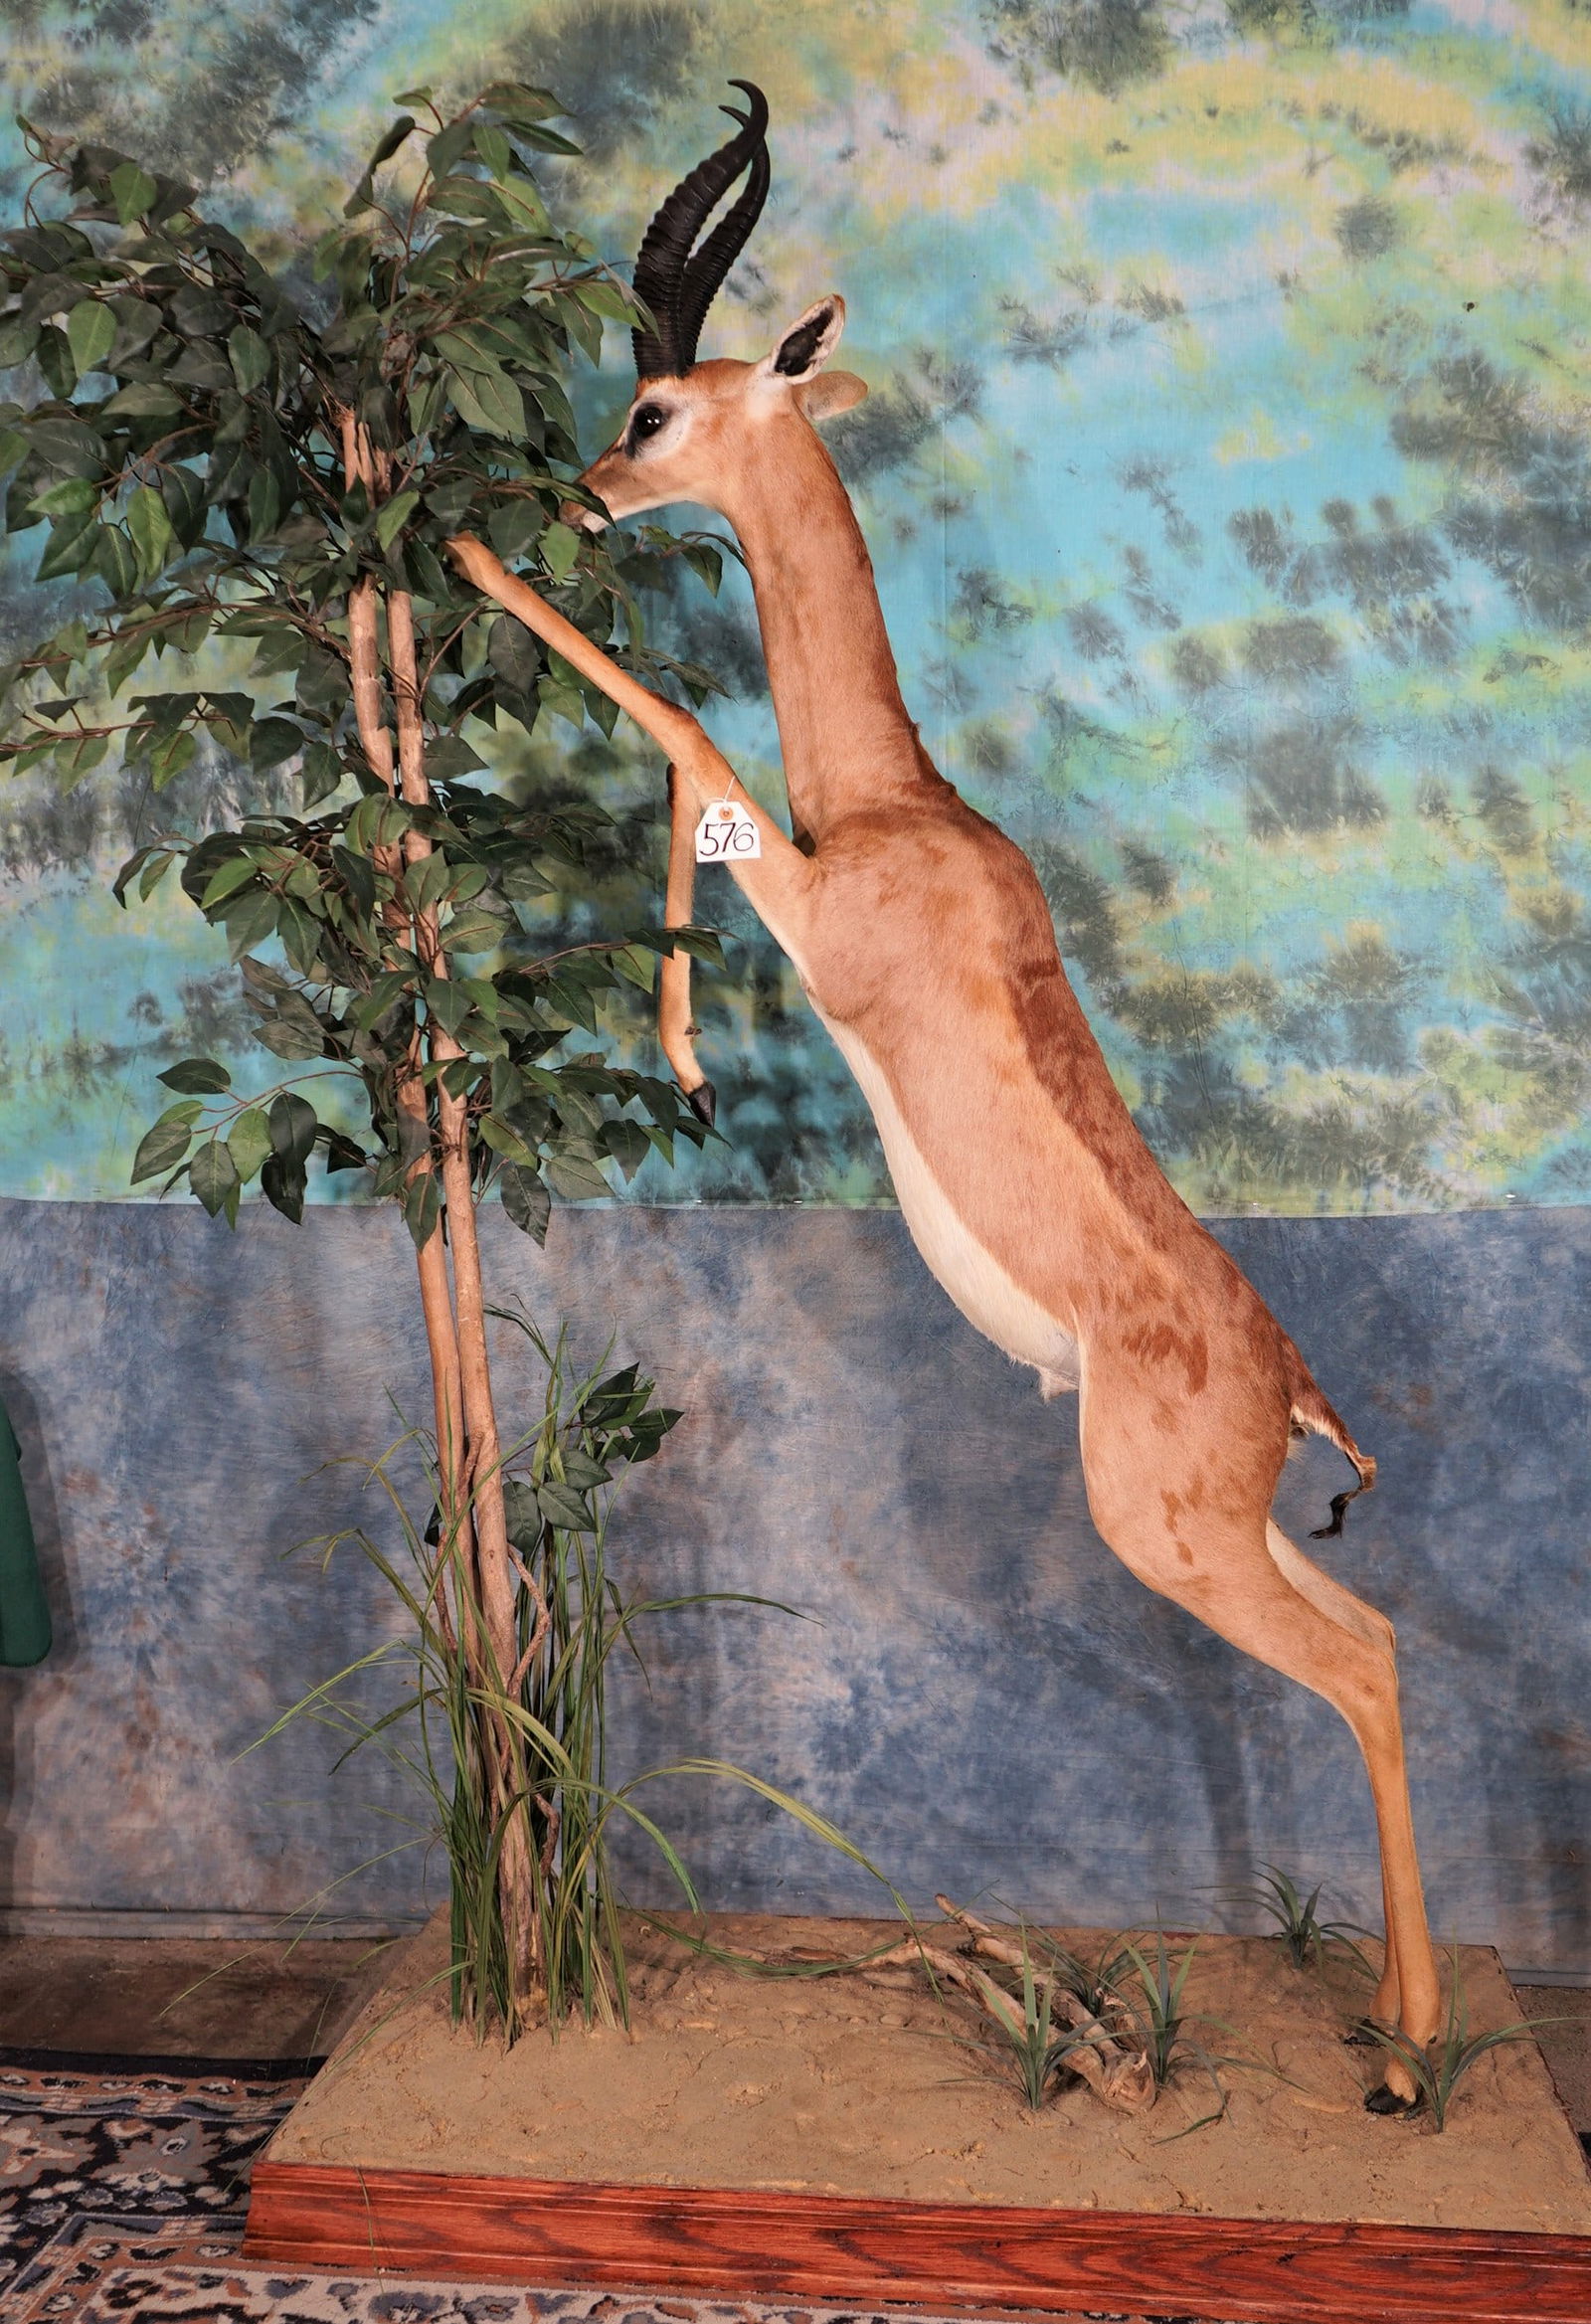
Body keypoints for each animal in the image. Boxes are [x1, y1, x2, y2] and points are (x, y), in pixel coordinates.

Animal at [447, 83, 1441, 2106]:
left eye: (655, 406)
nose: (575, 497)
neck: (911, 814)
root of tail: (1294, 1389)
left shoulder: (826, 924)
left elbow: (687, 731)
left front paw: (465, 560)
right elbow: (694, 779)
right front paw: (682, 1058)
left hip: (1165, 1536)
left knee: (1367, 1667)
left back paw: (1401, 2060)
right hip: (1216, 1532)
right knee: (1386, 1632)